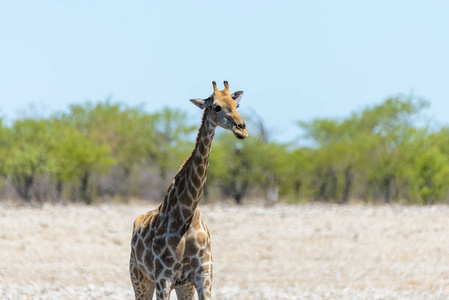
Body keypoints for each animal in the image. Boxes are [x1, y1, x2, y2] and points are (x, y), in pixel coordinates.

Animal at [130, 81, 248, 298]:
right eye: (216, 107)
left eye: (237, 105)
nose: (241, 129)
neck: (186, 213)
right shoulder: (164, 278)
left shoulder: (203, 276)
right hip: (139, 278)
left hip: (183, 286)